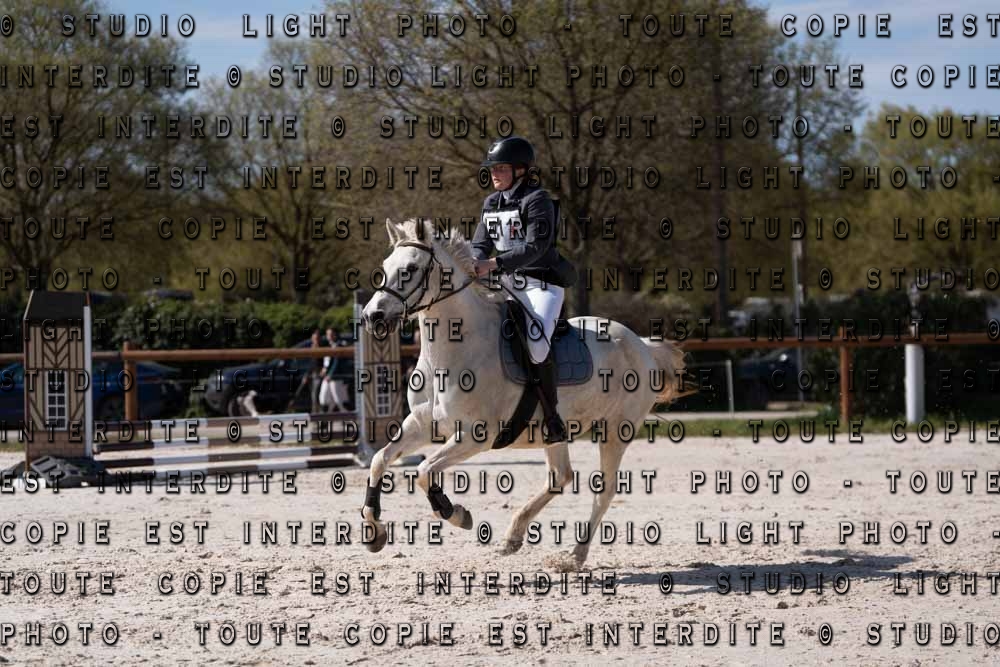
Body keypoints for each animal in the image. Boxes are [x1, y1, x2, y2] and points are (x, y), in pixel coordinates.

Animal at [359, 217, 686, 571]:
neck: (451, 351)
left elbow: (423, 471)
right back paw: (514, 536)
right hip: (556, 431)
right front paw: (373, 531)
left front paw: (455, 513)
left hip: (615, 431)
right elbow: (379, 460)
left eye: (410, 268)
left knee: (606, 489)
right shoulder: (420, 426)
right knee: (560, 477)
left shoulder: (475, 437)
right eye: (385, 267)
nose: (372, 317)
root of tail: (642, 344)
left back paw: (574, 555)